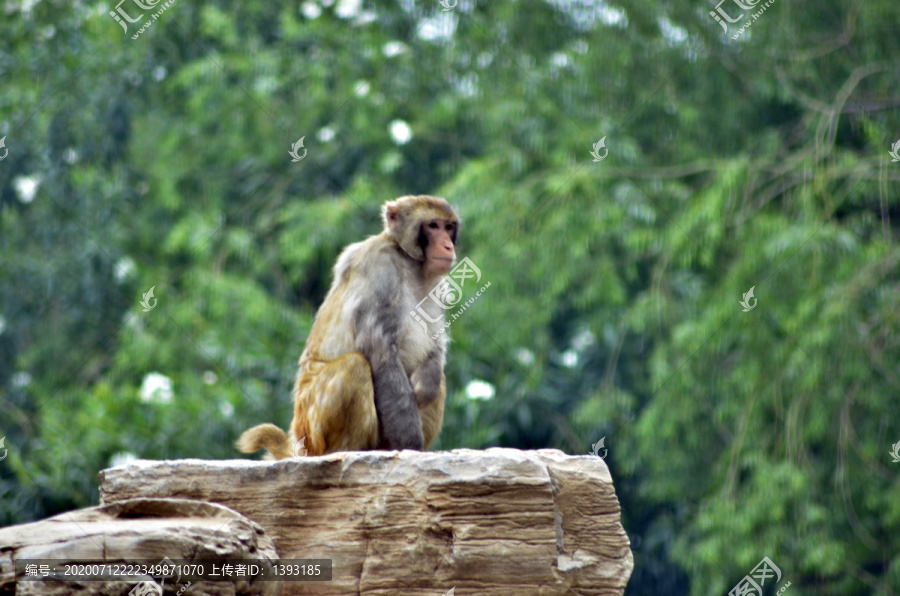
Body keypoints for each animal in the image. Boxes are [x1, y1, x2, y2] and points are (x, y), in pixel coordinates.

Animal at [236, 194, 460, 456]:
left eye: (449, 227)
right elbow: (382, 354)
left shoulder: (439, 285)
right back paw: (346, 451)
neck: (411, 261)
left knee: (437, 379)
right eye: (433, 226)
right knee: (355, 365)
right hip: (312, 425)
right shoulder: (379, 269)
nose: (448, 246)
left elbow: (434, 349)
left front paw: (427, 383)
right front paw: (410, 445)